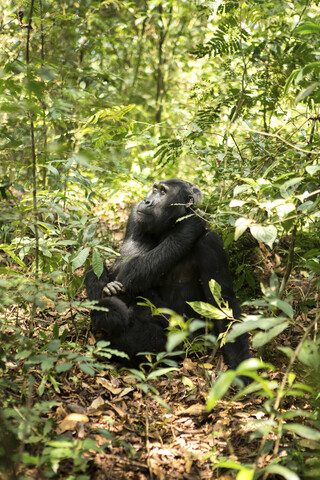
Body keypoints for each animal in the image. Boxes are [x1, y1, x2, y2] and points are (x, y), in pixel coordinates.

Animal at [85, 180, 250, 372]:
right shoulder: (135, 217)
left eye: (163, 192)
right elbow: (125, 266)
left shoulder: (211, 242)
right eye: (155, 189)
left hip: (189, 347)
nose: (146, 201)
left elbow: (224, 301)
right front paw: (188, 228)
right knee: (95, 271)